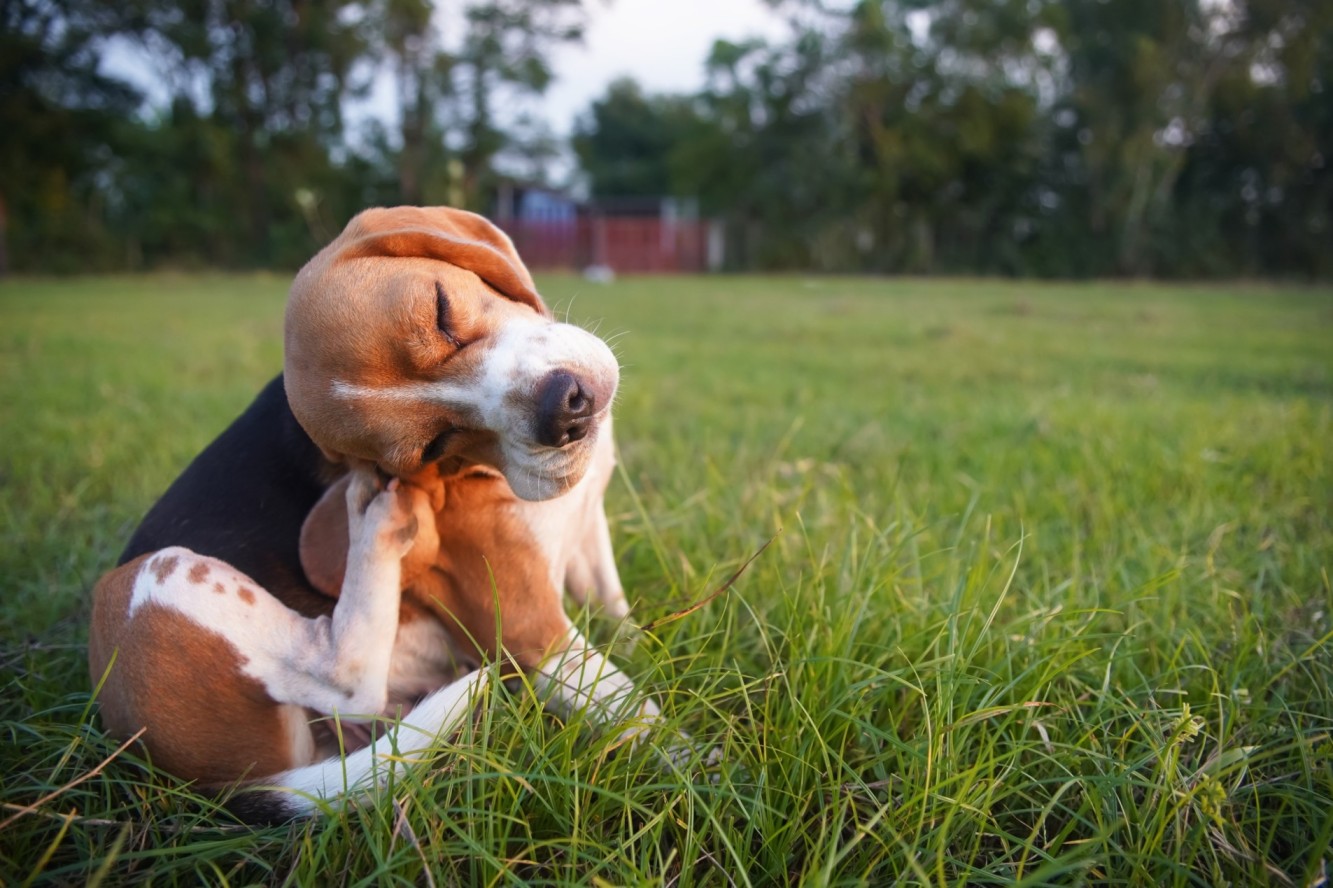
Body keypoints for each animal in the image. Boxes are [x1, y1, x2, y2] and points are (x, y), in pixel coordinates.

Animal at [88, 204, 661, 821]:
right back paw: (377, 526)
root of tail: (221, 786)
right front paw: (697, 770)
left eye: (441, 311)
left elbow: (618, 615)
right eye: (433, 447)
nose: (566, 412)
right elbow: (648, 720)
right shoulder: (533, 632)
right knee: (345, 679)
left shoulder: (589, 535)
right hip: (151, 581)